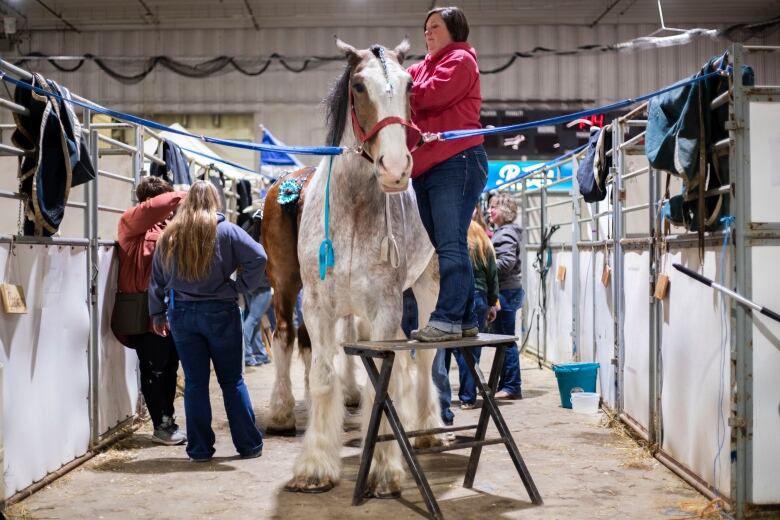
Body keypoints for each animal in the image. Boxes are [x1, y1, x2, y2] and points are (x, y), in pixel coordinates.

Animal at [264, 37, 444, 496]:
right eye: (359, 86)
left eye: (409, 87)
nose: (395, 168)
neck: (354, 209)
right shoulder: (318, 306)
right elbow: (323, 373)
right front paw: (315, 465)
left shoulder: (385, 307)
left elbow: (384, 381)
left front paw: (385, 468)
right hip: (284, 283)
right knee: (287, 338)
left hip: (428, 287)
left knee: (425, 359)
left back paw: (427, 426)